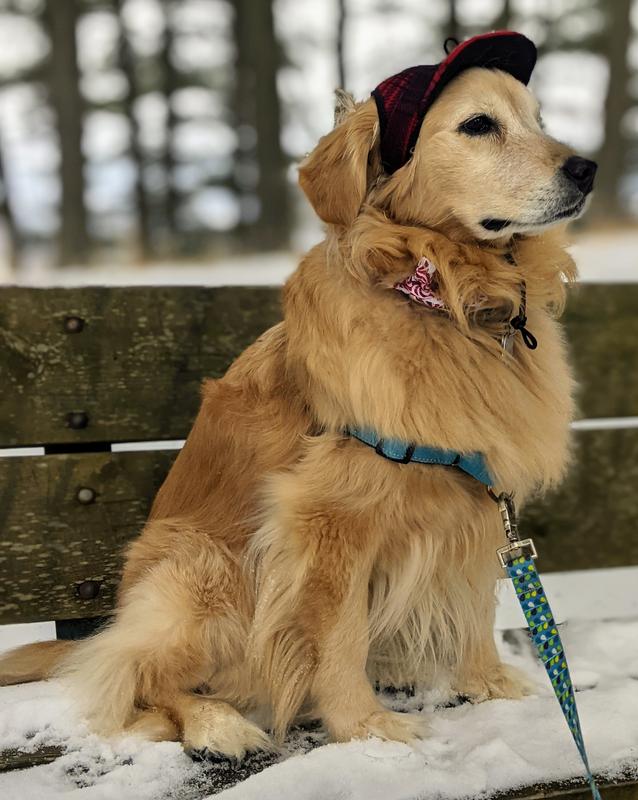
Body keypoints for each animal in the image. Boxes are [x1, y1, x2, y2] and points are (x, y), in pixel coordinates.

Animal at [1, 29, 600, 756]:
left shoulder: (477, 506)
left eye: (539, 119)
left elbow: (476, 609)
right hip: (204, 573)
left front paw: (494, 685)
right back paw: (217, 723)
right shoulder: (326, 524)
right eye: (479, 125)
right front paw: (365, 727)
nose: (588, 169)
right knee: (137, 683)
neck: (442, 298)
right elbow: (337, 638)